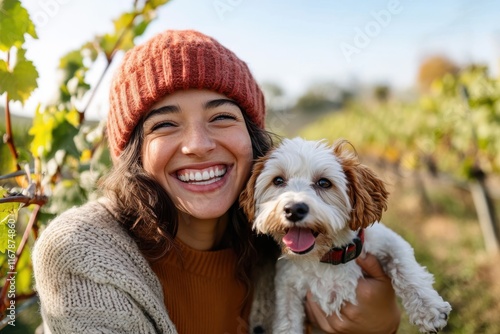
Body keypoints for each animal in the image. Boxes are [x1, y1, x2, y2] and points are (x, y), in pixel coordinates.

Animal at [240, 138, 452, 334]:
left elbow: (405, 267)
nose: (294, 209)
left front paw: (429, 308)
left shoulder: (386, 240)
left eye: (324, 183)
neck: (327, 256)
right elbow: (287, 321)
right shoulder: (287, 287)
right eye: (278, 180)